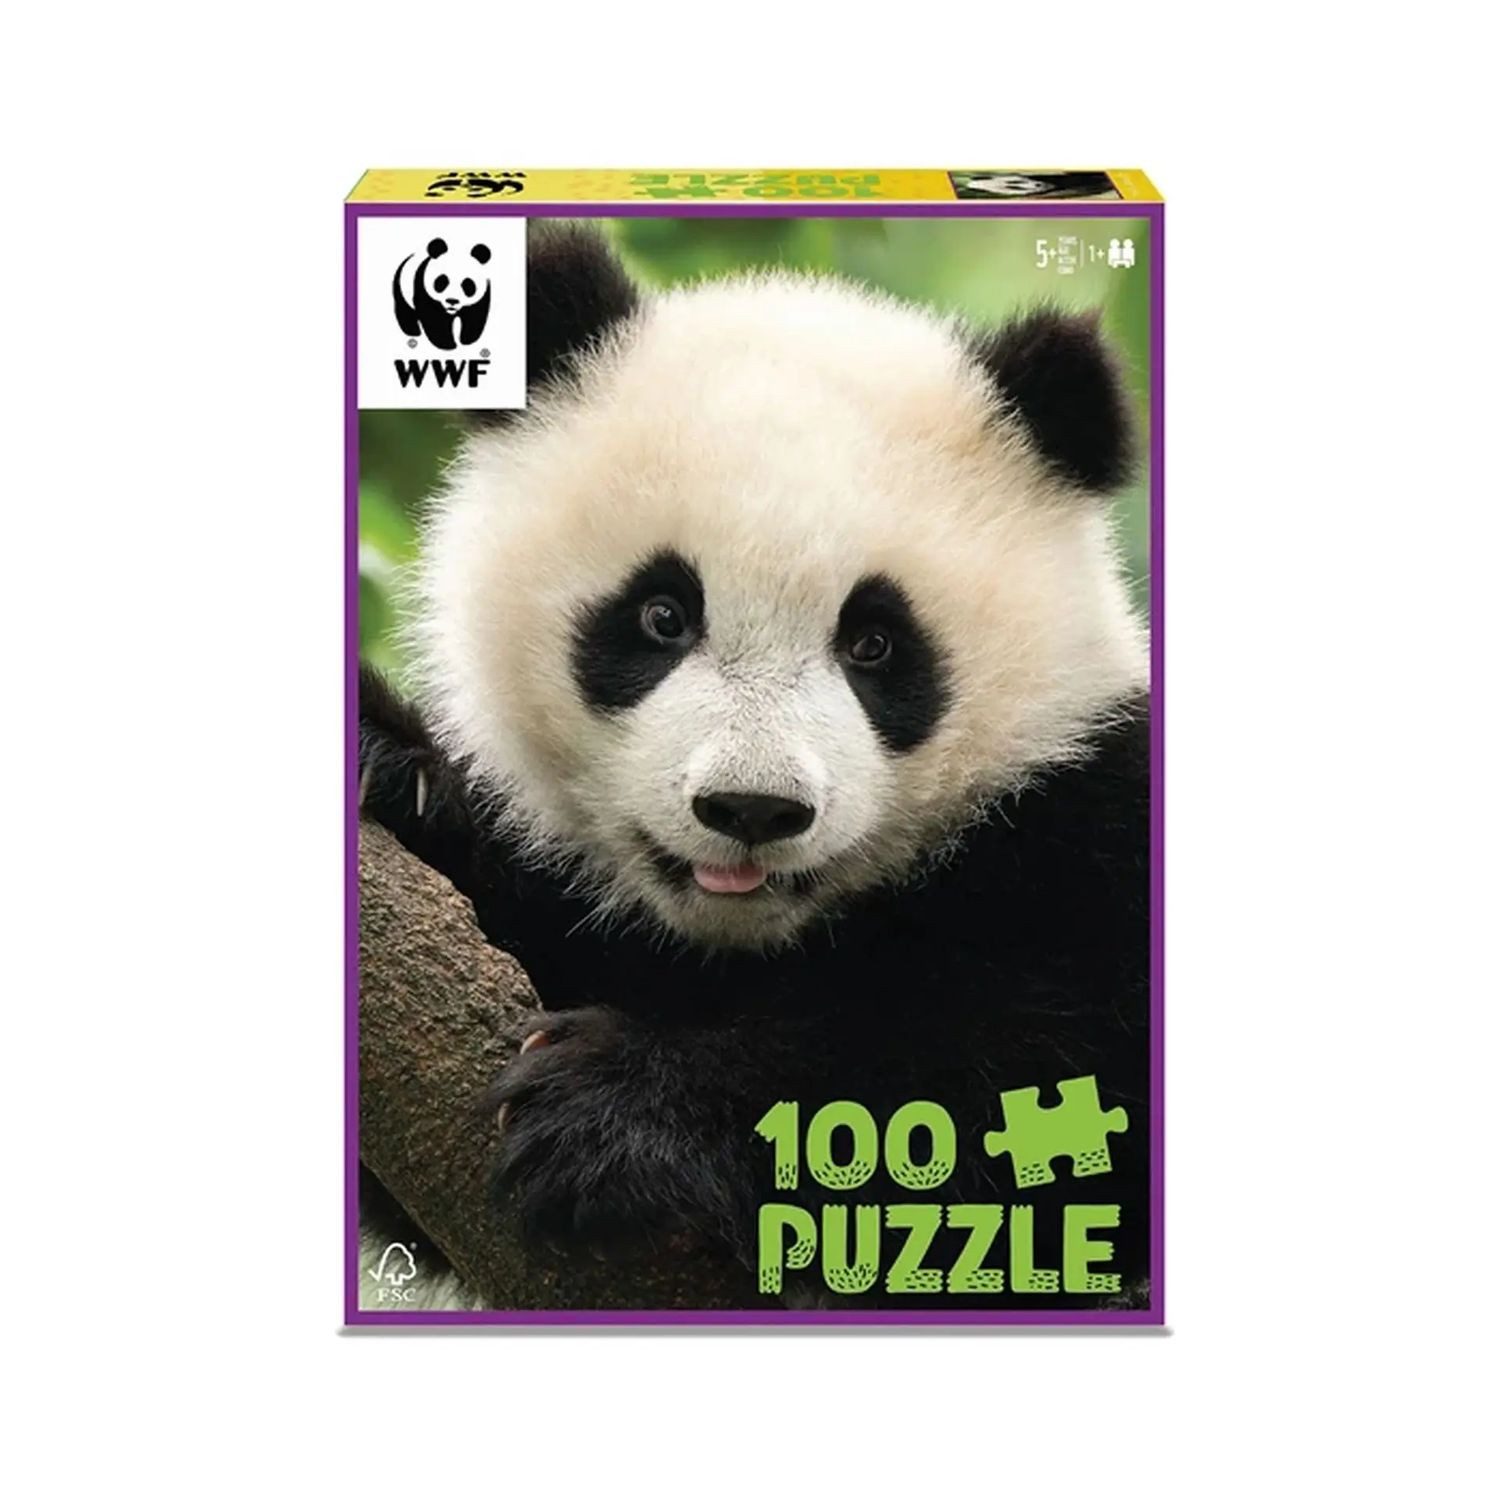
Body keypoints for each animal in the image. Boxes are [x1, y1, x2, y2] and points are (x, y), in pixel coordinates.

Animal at [360, 225, 1151, 1308]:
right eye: (661, 615)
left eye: (875, 645)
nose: (752, 809)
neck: (747, 942)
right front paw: (394, 769)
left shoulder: (1095, 823)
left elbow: (1026, 1084)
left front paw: (616, 1114)